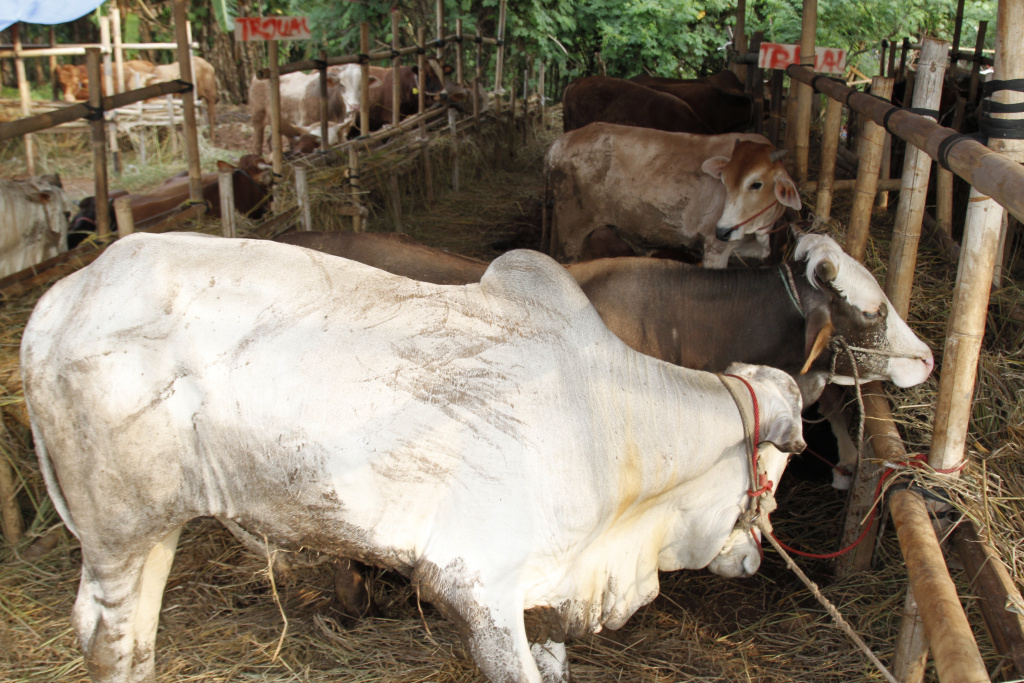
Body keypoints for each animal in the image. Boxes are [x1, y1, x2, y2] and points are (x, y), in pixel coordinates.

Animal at [19, 235, 806, 683]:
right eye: (771, 472)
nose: (756, 556)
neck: (610, 418)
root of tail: (60, 299)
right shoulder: (478, 591)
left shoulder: (548, 588)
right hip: (117, 532)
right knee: (106, 638)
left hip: (161, 524)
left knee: (139, 634)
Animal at [544, 121, 798, 266]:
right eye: (724, 180)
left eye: (756, 184)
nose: (723, 231)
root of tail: (560, 142)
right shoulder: (714, 249)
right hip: (572, 230)